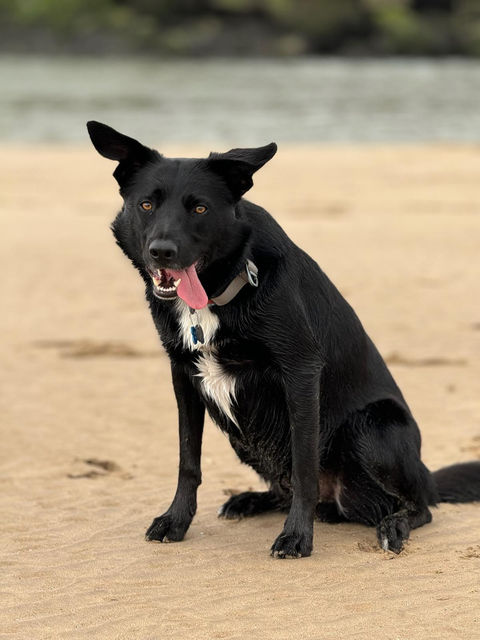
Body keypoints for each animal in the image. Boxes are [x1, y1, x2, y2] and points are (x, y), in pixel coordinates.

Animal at [87, 121, 480, 558]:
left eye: (200, 208)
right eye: (146, 205)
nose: (162, 252)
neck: (222, 289)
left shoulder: (301, 372)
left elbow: (304, 465)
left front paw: (296, 537)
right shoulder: (183, 374)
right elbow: (188, 460)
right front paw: (176, 521)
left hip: (374, 427)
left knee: (420, 506)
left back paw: (392, 525)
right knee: (286, 487)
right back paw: (252, 500)